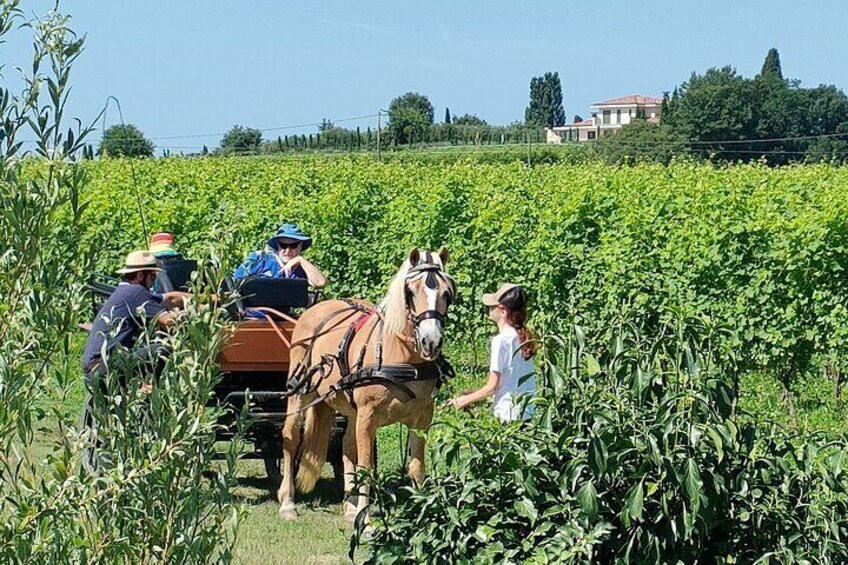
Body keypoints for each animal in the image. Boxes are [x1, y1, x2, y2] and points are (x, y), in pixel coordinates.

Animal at [280, 247, 458, 520]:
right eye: (410, 292)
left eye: (447, 293)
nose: (431, 341)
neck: (403, 357)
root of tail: (317, 307)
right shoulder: (368, 415)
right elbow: (366, 466)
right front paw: (366, 520)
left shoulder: (423, 417)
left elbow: (416, 467)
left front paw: (423, 513)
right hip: (300, 391)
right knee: (290, 438)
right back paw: (288, 503)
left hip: (350, 407)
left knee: (346, 447)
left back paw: (350, 506)